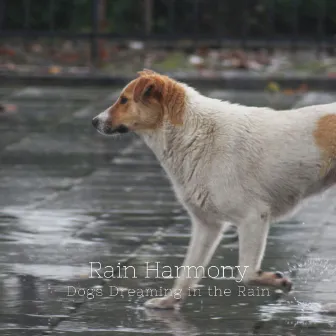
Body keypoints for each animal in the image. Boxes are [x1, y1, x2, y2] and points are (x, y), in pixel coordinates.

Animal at [92, 69, 336, 308]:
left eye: (124, 100)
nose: (94, 121)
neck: (192, 132)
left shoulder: (253, 217)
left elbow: (246, 273)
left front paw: (279, 281)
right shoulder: (207, 225)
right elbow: (187, 272)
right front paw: (169, 302)